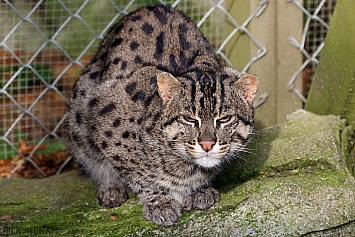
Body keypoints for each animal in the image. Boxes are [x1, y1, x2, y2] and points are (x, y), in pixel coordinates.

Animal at [66, 3, 258, 226]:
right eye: (189, 119)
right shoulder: (101, 113)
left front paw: (197, 191)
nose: (207, 144)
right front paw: (160, 201)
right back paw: (111, 188)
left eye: (225, 119)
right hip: (80, 106)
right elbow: (136, 174)